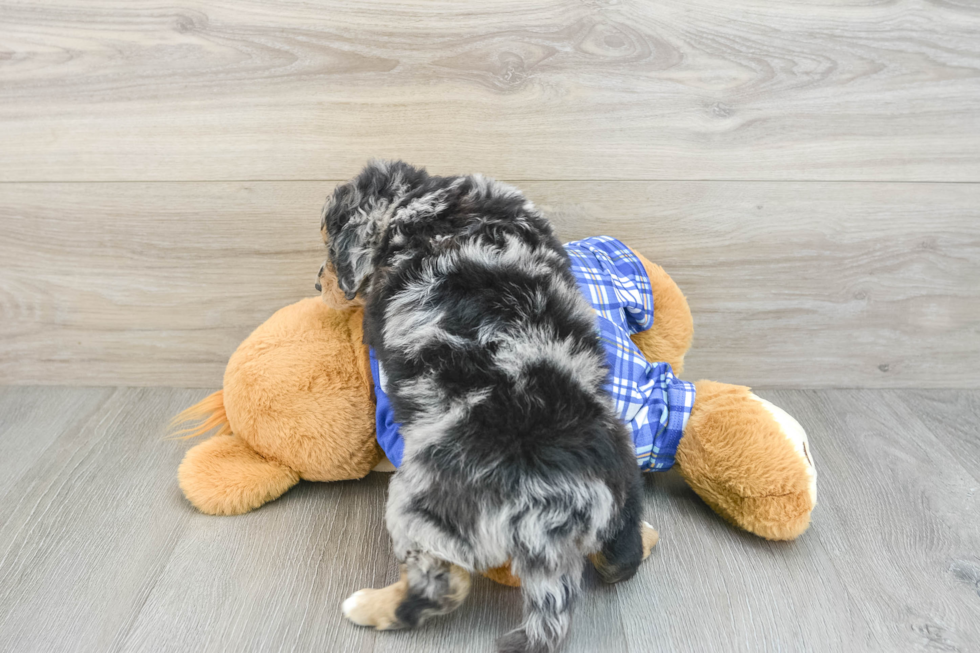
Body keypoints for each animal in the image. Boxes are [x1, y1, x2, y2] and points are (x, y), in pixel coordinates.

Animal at [318, 159, 648, 652]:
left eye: (326, 245)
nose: (317, 283)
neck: (424, 204)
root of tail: (555, 509)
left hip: (423, 504)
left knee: (443, 586)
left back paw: (368, 606)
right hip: (623, 481)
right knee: (621, 559)